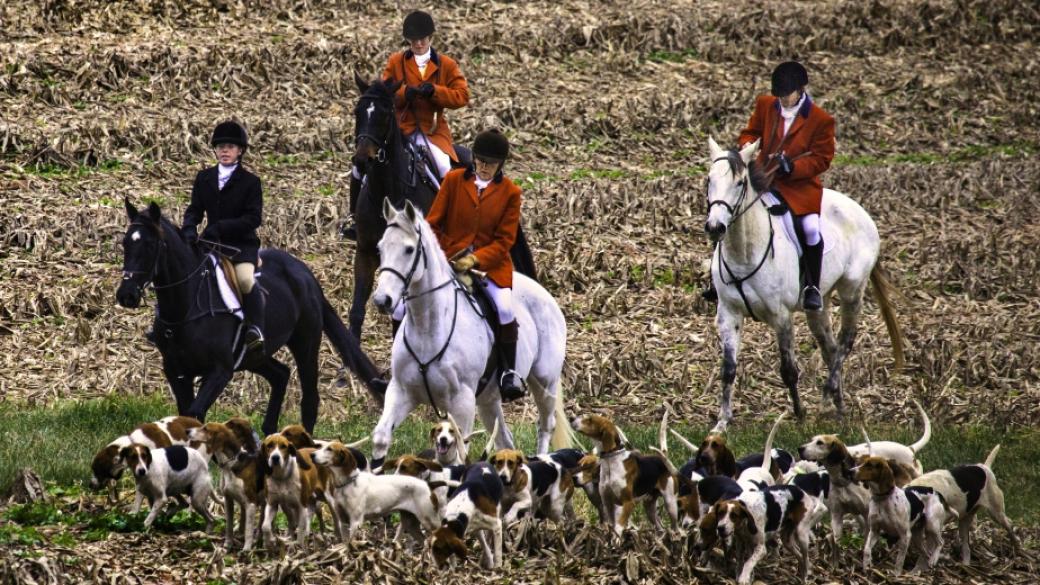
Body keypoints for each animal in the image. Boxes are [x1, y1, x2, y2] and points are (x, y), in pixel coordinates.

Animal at [116, 198, 386, 433]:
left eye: (150, 245)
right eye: (125, 243)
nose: (126, 295)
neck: (186, 306)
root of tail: (305, 273)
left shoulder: (220, 370)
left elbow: (194, 414)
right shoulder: (176, 371)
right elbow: (185, 416)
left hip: (305, 344)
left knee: (310, 400)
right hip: (255, 356)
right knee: (280, 375)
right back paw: (269, 433)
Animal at [307, 437, 438, 541]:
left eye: (329, 449)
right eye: (320, 447)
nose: (311, 455)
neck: (346, 484)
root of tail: (426, 484)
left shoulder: (355, 522)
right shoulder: (343, 521)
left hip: (429, 522)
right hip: (410, 524)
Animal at [370, 197, 574, 466]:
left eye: (409, 250)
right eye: (380, 248)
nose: (382, 300)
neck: (428, 328)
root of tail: (545, 294)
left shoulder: (462, 402)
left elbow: (459, 456)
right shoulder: (401, 391)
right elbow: (381, 438)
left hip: (544, 382)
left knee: (546, 425)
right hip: (489, 399)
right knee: (504, 440)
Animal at [703, 136, 906, 428]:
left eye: (740, 183)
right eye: (709, 180)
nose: (715, 227)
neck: (744, 250)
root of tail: (861, 212)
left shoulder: (781, 316)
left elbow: (788, 370)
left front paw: (799, 416)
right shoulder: (728, 313)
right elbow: (728, 369)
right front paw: (722, 423)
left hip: (852, 290)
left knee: (845, 342)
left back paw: (826, 398)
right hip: (819, 304)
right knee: (830, 348)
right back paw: (838, 406)